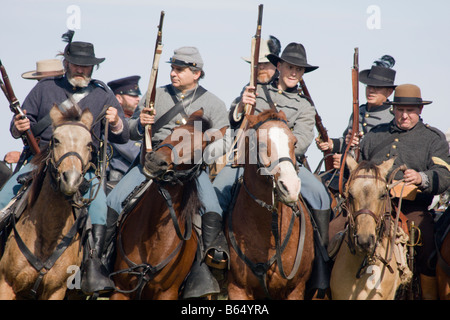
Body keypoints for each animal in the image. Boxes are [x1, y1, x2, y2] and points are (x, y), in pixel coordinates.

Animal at [108, 109, 214, 298]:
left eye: (198, 149)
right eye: (174, 130)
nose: (155, 161)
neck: (154, 234)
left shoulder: (167, 293)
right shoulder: (121, 289)